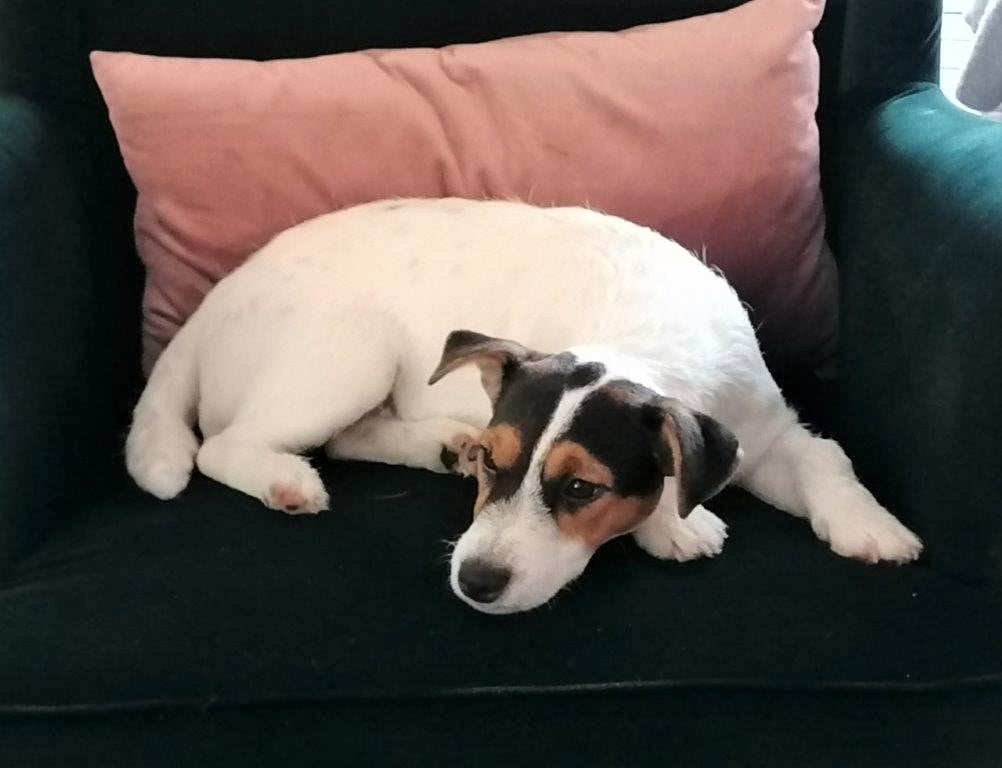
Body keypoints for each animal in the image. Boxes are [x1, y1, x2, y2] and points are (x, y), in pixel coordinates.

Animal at [126, 197, 922, 614]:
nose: (472, 584)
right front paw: (674, 524)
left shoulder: (766, 429)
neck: (643, 334)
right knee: (224, 445)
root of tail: (213, 300)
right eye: (494, 464)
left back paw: (437, 442)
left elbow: (826, 461)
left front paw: (874, 527)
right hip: (351, 350)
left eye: (581, 489)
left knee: (350, 437)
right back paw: (287, 480)